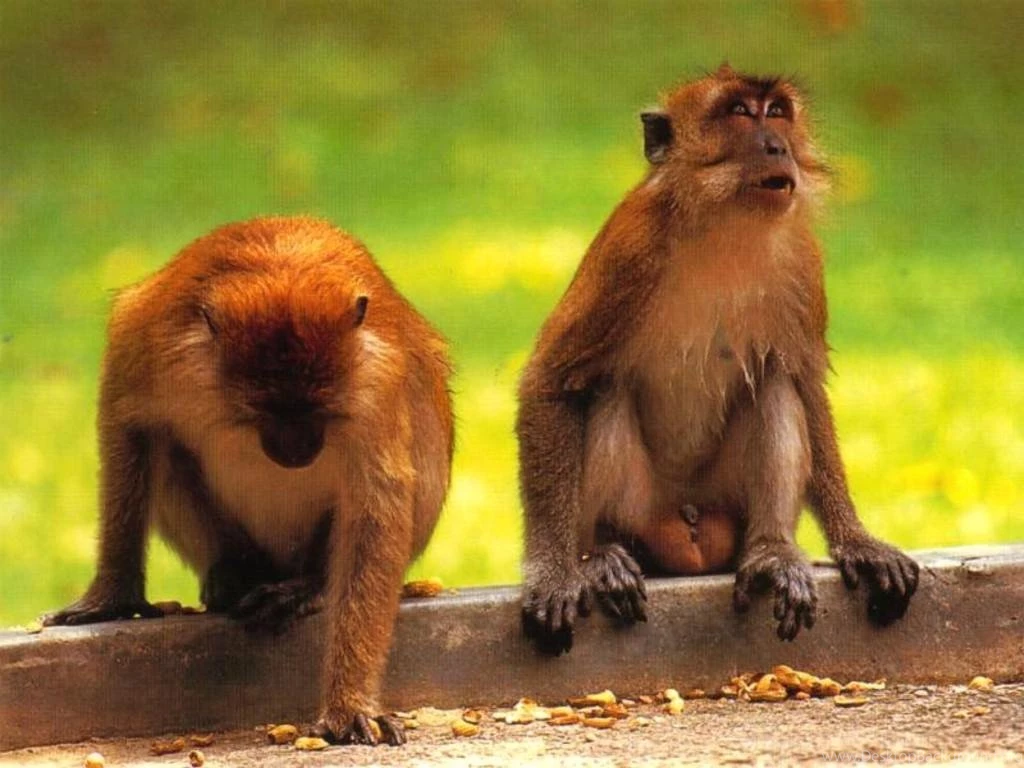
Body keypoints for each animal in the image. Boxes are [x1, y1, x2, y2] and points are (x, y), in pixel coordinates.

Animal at [43, 216, 453, 745]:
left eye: (315, 409)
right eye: (266, 410)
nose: (296, 449)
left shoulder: (372, 379)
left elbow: (375, 507)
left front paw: (348, 703)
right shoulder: (152, 340)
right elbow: (129, 427)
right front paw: (113, 597)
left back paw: (307, 583)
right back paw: (238, 572)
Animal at [517, 65, 919, 655]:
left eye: (777, 112)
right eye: (738, 113)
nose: (777, 146)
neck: (724, 225)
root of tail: (687, 524)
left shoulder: (803, 261)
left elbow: (804, 383)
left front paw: (856, 540)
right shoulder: (627, 249)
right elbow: (551, 379)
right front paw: (553, 571)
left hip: (725, 507)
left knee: (773, 382)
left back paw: (771, 552)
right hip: (647, 511)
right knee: (608, 388)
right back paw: (603, 555)